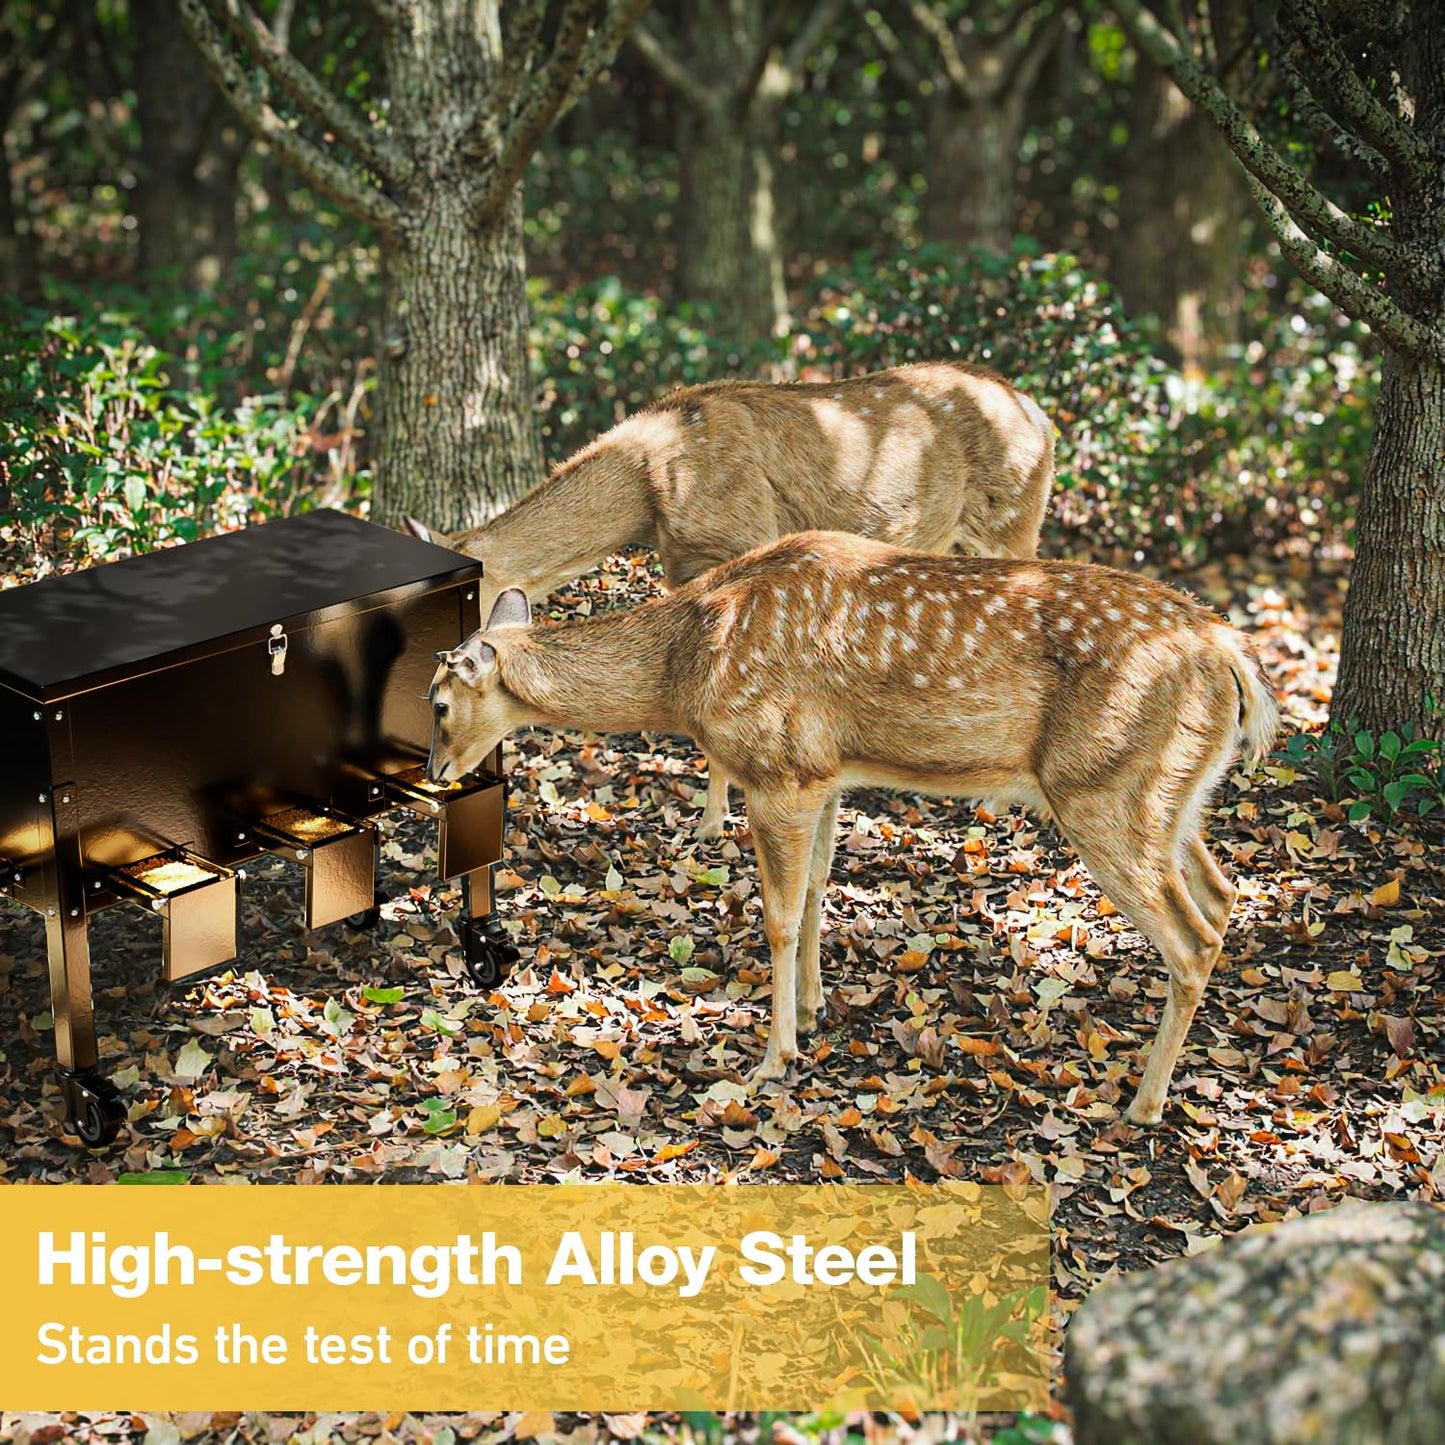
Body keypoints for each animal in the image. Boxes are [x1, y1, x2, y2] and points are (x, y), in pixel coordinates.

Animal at [404, 361, 1056, 839]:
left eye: (464, 589)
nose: (435, 665)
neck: (652, 489)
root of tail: (1042, 416)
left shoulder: (745, 540)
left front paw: (713, 827)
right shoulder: (684, 571)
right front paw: (711, 820)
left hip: (1011, 516)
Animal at [425, 531, 1278, 1127]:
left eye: (436, 702)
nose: (434, 768)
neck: (683, 667)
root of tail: (1228, 652)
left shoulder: (776, 768)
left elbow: (776, 914)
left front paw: (774, 1056)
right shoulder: (823, 772)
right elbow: (816, 890)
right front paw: (812, 1008)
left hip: (1102, 789)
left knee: (1191, 936)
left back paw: (1143, 1103)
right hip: (1168, 794)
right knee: (1223, 893)